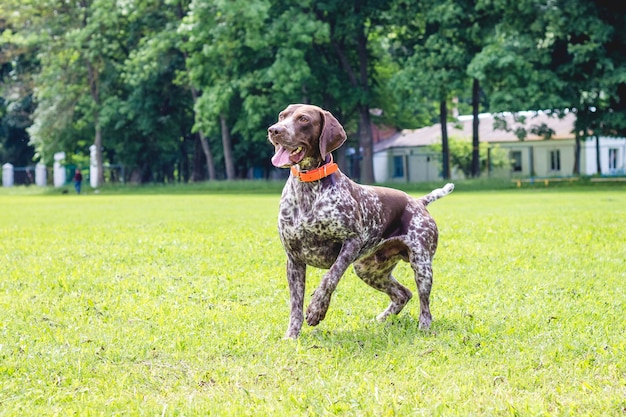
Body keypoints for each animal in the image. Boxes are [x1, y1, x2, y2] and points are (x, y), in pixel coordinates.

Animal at [266, 104, 450, 338]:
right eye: (282, 116)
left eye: (303, 119)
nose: (274, 130)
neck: (308, 188)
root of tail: (419, 201)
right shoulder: (294, 259)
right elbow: (295, 305)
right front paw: (291, 336)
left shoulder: (352, 242)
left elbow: (330, 278)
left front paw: (317, 309)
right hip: (368, 269)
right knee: (403, 293)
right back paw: (382, 319)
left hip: (422, 265)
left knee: (424, 305)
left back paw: (423, 327)